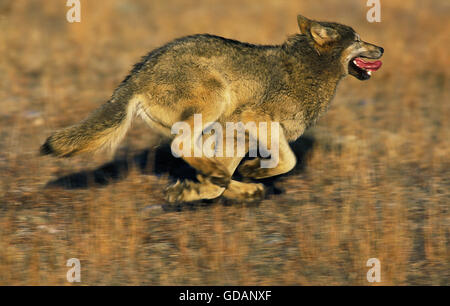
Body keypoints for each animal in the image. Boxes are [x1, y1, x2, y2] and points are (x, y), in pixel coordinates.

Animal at [39, 14, 384, 203]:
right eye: (358, 38)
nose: (382, 48)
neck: (310, 68)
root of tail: (136, 74)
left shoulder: (238, 137)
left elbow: (222, 183)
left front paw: (196, 191)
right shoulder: (255, 120)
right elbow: (289, 160)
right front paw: (254, 173)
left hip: (211, 129)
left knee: (198, 160)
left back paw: (226, 185)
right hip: (213, 101)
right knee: (182, 148)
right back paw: (227, 180)